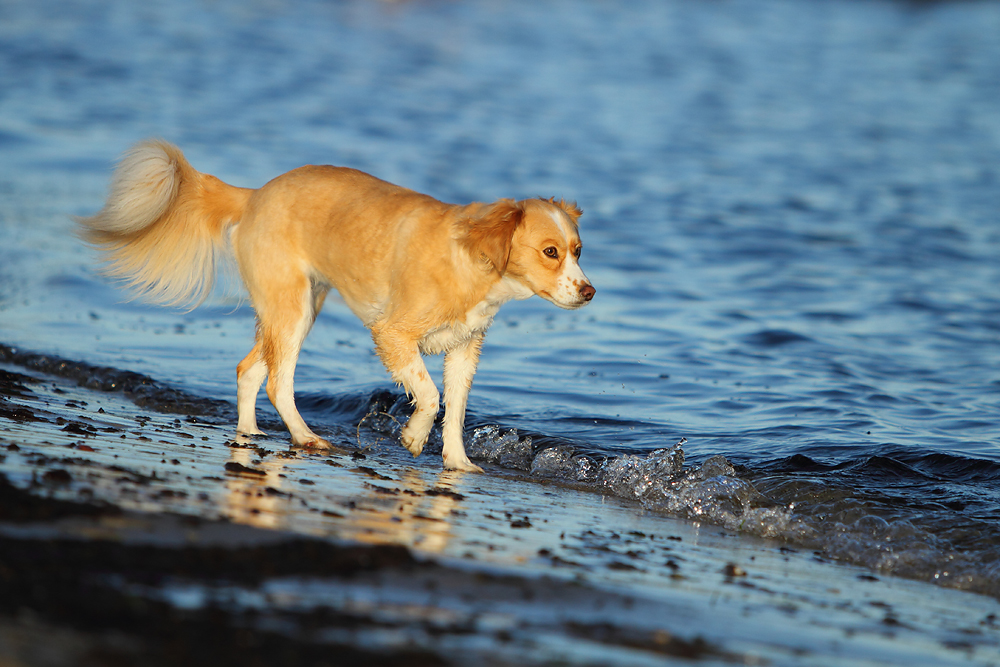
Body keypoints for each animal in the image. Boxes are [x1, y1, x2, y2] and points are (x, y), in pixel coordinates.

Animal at [80, 140, 592, 474]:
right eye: (550, 252)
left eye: (578, 250)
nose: (589, 292)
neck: (473, 262)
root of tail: (257, 194)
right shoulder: (392, 334)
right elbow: (430, 396)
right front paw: (412, 437)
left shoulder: (465, 348)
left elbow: (457, 409)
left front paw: (458, 462)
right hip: (291, 308)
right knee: (277, 382)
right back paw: (304, 437)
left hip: (294, 309)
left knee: (249, 370)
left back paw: (250, 434)